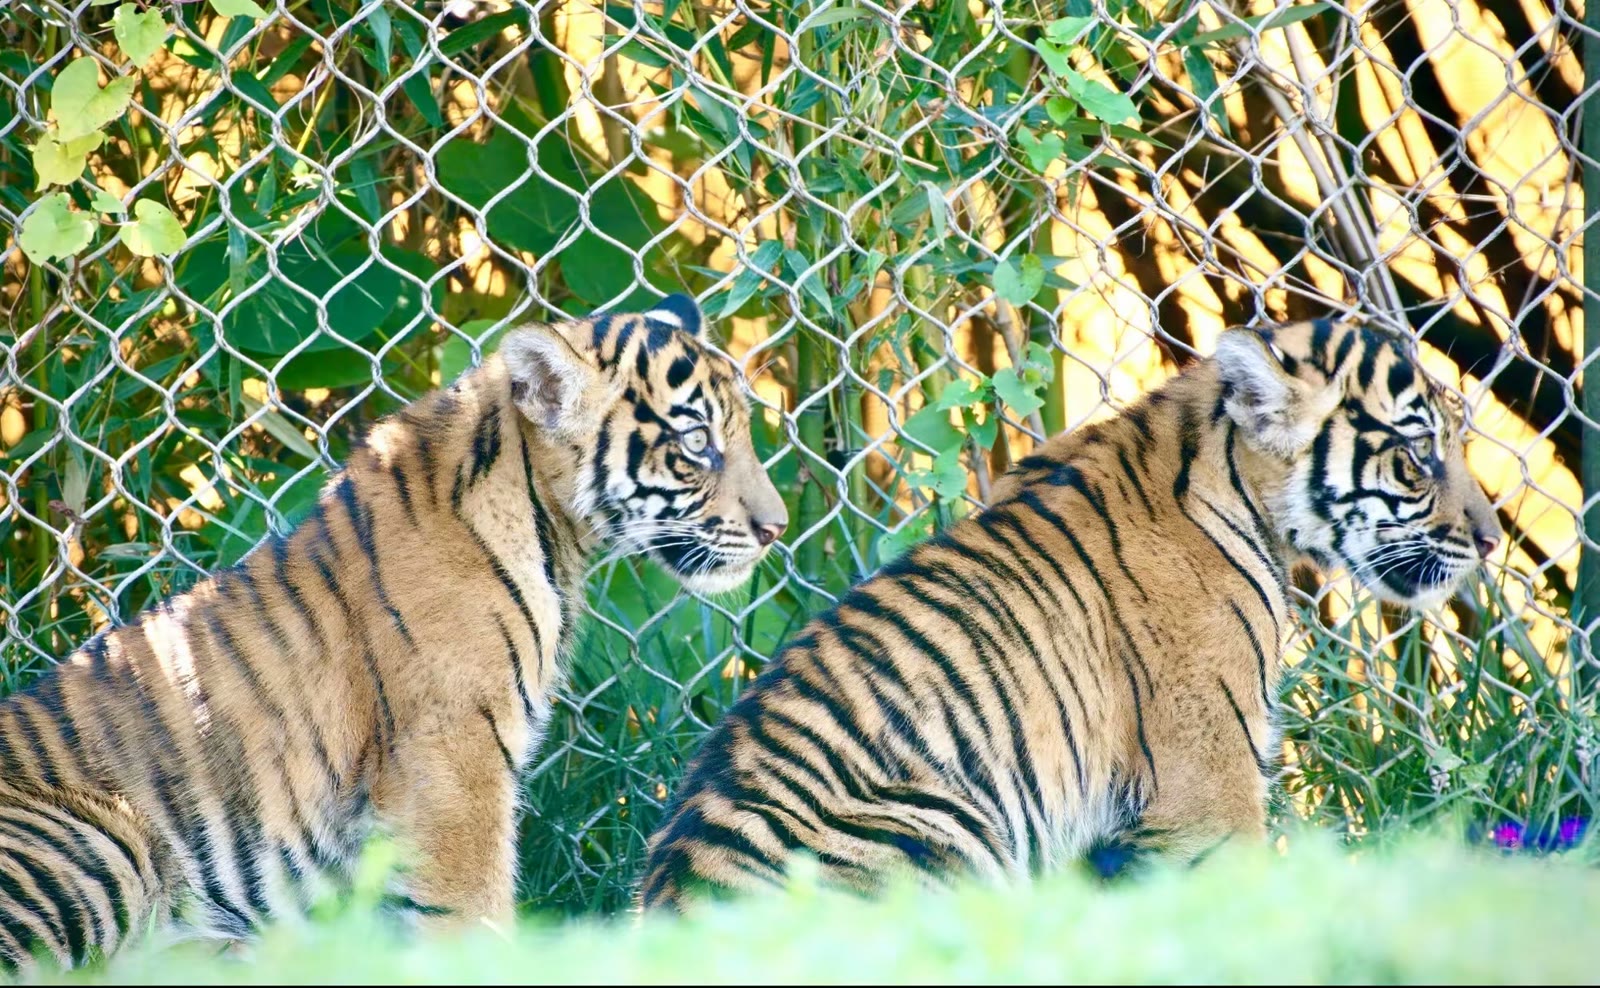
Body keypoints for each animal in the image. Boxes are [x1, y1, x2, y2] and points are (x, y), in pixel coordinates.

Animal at [0, 294, 787, 968]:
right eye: (697, 443)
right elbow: (470, 906)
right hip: (100, 842)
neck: (554, 534)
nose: (776, 528)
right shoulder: (454, 752)